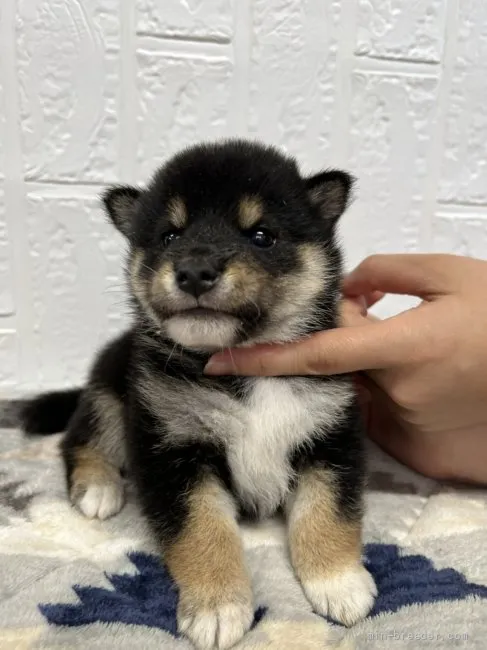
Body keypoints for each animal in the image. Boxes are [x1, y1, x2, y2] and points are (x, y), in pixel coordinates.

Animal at [18, 139, 378, 644]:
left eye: (262, 235)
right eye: (170, 236)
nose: (194, 270)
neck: (245, 367)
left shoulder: (331, 436)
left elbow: (328, 511)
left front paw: (338, 581)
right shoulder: (171, 447)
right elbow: (202, 529)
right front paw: (217, 607)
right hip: (110, 389)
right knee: (79, 438)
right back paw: (99, 487)